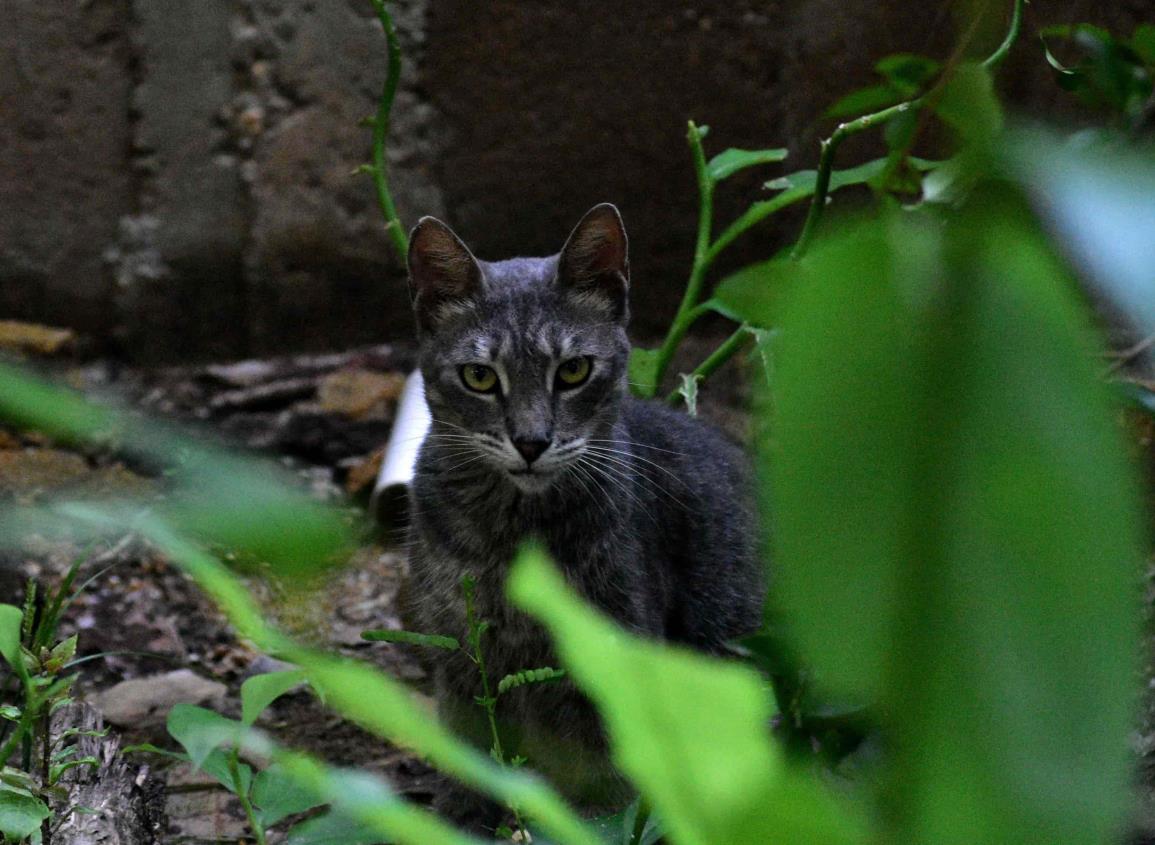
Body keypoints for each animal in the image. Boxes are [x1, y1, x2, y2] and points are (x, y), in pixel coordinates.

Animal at [401, 203, 762, 826]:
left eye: (572, 371)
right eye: (479, 376)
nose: (530, 441)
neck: (511, 536)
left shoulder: (614, 665)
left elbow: (608, 798)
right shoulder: (461, 665)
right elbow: (470, 772)